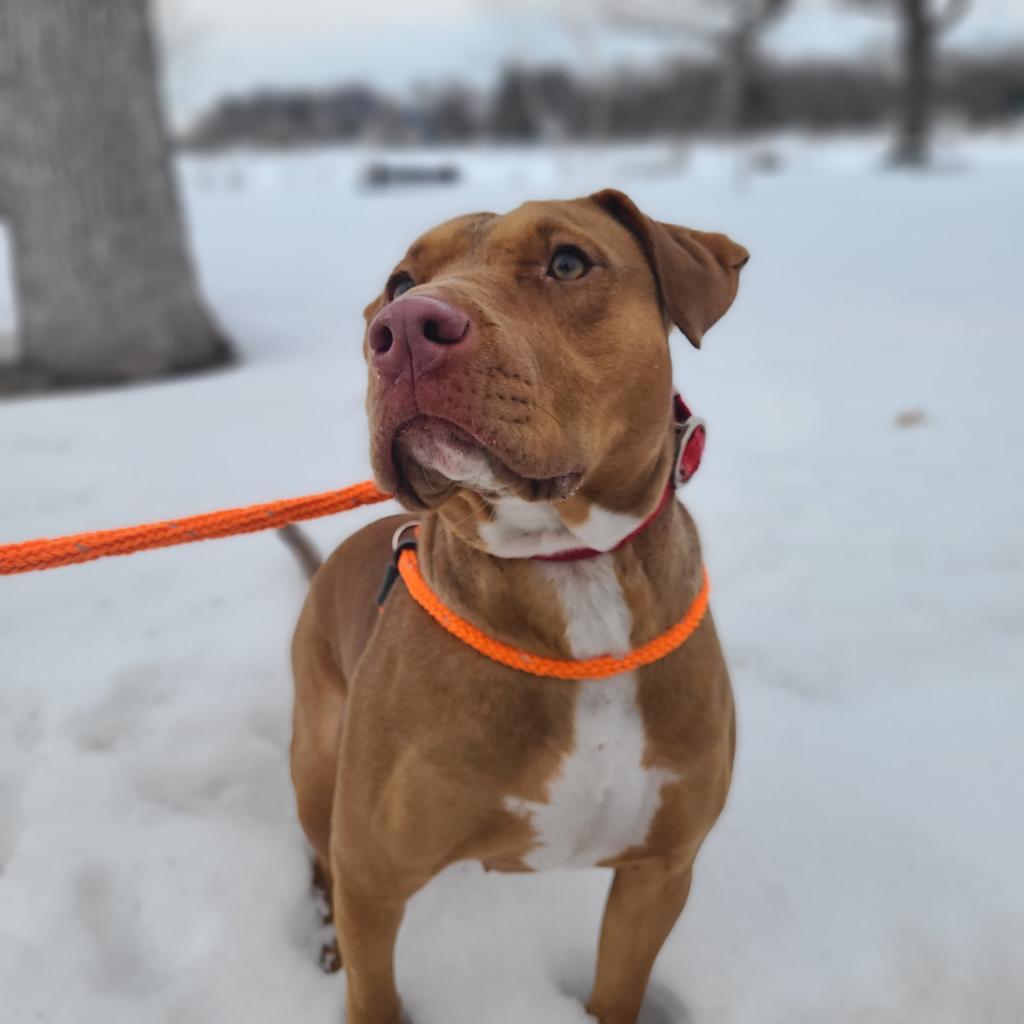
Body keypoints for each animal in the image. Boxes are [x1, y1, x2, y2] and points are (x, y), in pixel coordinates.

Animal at [292, 188, 749, 1019]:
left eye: (567, 262)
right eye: (401, 282)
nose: (403, 330)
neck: (570, 568)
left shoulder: (660, 873)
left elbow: (616, 992)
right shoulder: (374, 876)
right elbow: (373, 991)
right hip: (316, 759)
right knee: (317, 852)